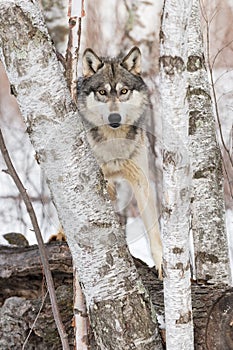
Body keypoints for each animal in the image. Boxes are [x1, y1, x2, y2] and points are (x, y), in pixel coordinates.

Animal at [77, 47, 163, 278]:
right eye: (102, 92)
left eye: (124, 91)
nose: (114, 118)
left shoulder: (141, 181)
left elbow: (153, 229)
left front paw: (162, 264)